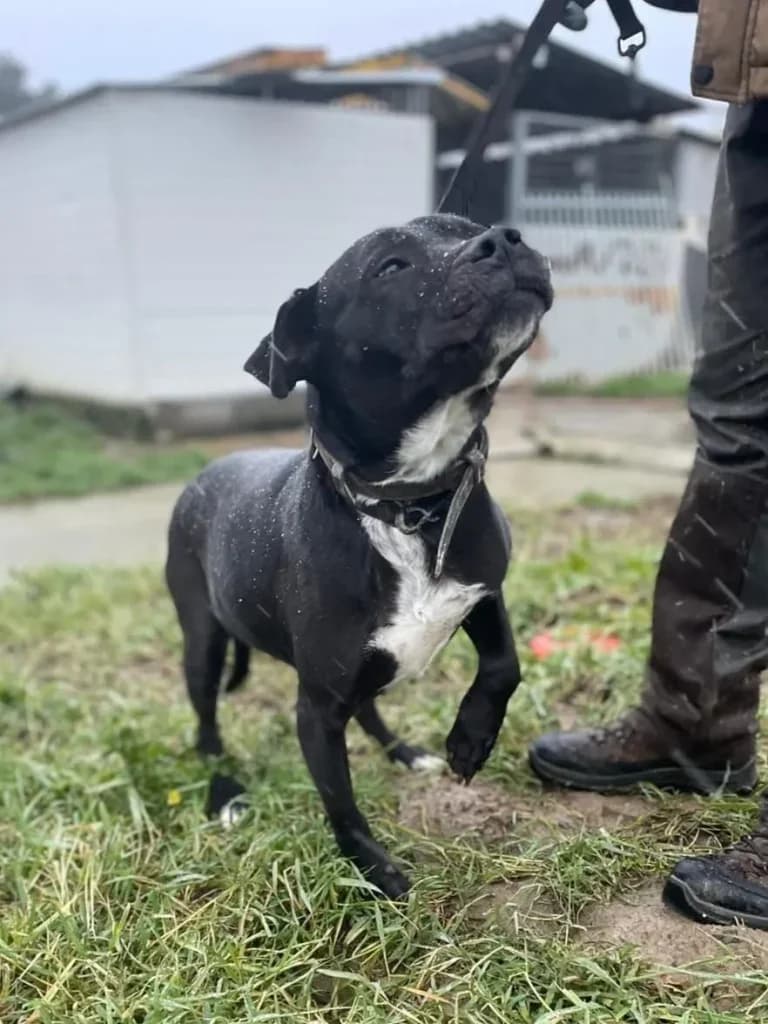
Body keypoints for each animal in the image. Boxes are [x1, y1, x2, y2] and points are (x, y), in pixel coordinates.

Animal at [166, 214, 552, 898]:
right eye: (390, 267)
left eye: (468, 227)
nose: (504, 239)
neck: (410, 506)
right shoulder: (316, 708)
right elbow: (340, 801)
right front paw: (374, 868)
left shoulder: (482, 590)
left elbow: (504, 665)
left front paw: (470, 739)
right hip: (202, 640)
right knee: (206, 713)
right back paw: (222, 782)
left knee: (369, 704)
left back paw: (402, 750)